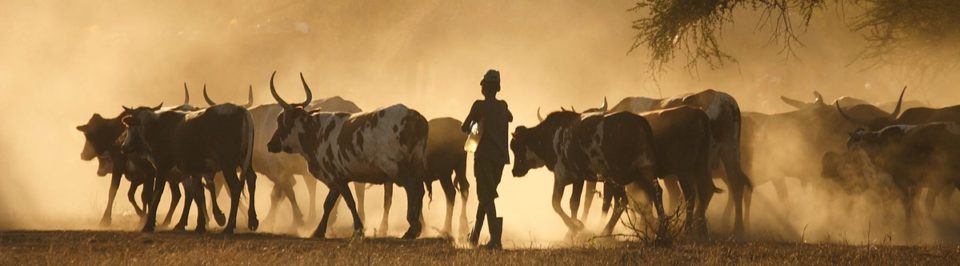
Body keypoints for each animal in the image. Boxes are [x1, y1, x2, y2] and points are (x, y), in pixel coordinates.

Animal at [264, 71, 426, 240]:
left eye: (280, 121)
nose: (270, 144)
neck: (316, 132)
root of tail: (414, 117)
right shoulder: (336, 179)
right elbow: (329, 203)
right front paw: (319, 231)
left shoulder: (337, 177)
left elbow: (348, 202)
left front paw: (358, 229)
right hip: (415, 164)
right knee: (419, 190)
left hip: (397, 169)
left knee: (413, 188)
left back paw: (412, 228)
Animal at [604, 89, 752, 235]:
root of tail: (726, 102)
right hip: (730, 153)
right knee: (734, 183)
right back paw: (737, 228)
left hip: (702, 163)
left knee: (703, 190)